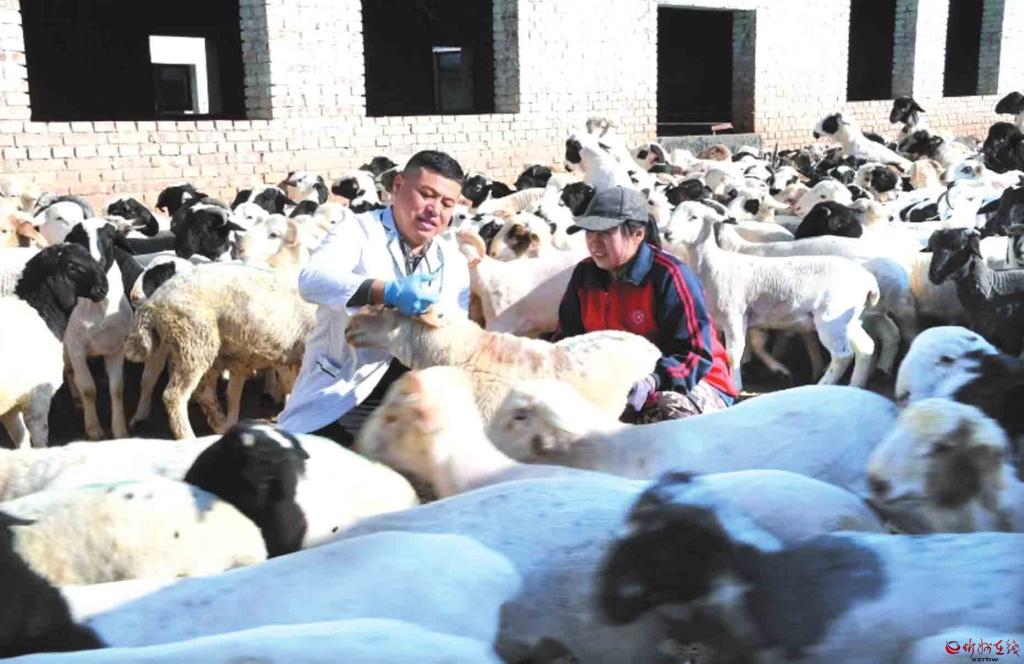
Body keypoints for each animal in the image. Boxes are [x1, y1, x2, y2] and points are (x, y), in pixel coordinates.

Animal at [1, 245, 108, 448]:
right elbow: (39, 441)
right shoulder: (37, 399)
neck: (42, 314)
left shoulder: (12, 404)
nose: (104, 288)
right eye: (72, 266)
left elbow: (20, 442)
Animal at [125, 264, 316, 439]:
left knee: (206, 393)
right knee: (174, 395)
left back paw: (222, 426)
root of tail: (154, 303)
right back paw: (188, 436)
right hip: (193, 340)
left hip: (208, 349)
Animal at [671, 211, 880, 389]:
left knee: (842, 355)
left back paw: (822, 385)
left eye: (694, 217)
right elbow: (753, 345)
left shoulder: (734, 315)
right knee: (866, 347)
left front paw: (737, 385)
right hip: (848, 320)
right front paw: (774, 369)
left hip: (832, 318)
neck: (716, 264)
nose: (667, 233)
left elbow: (734, 353)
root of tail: (868, 280)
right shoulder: (751, 318)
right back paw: (856, 385)